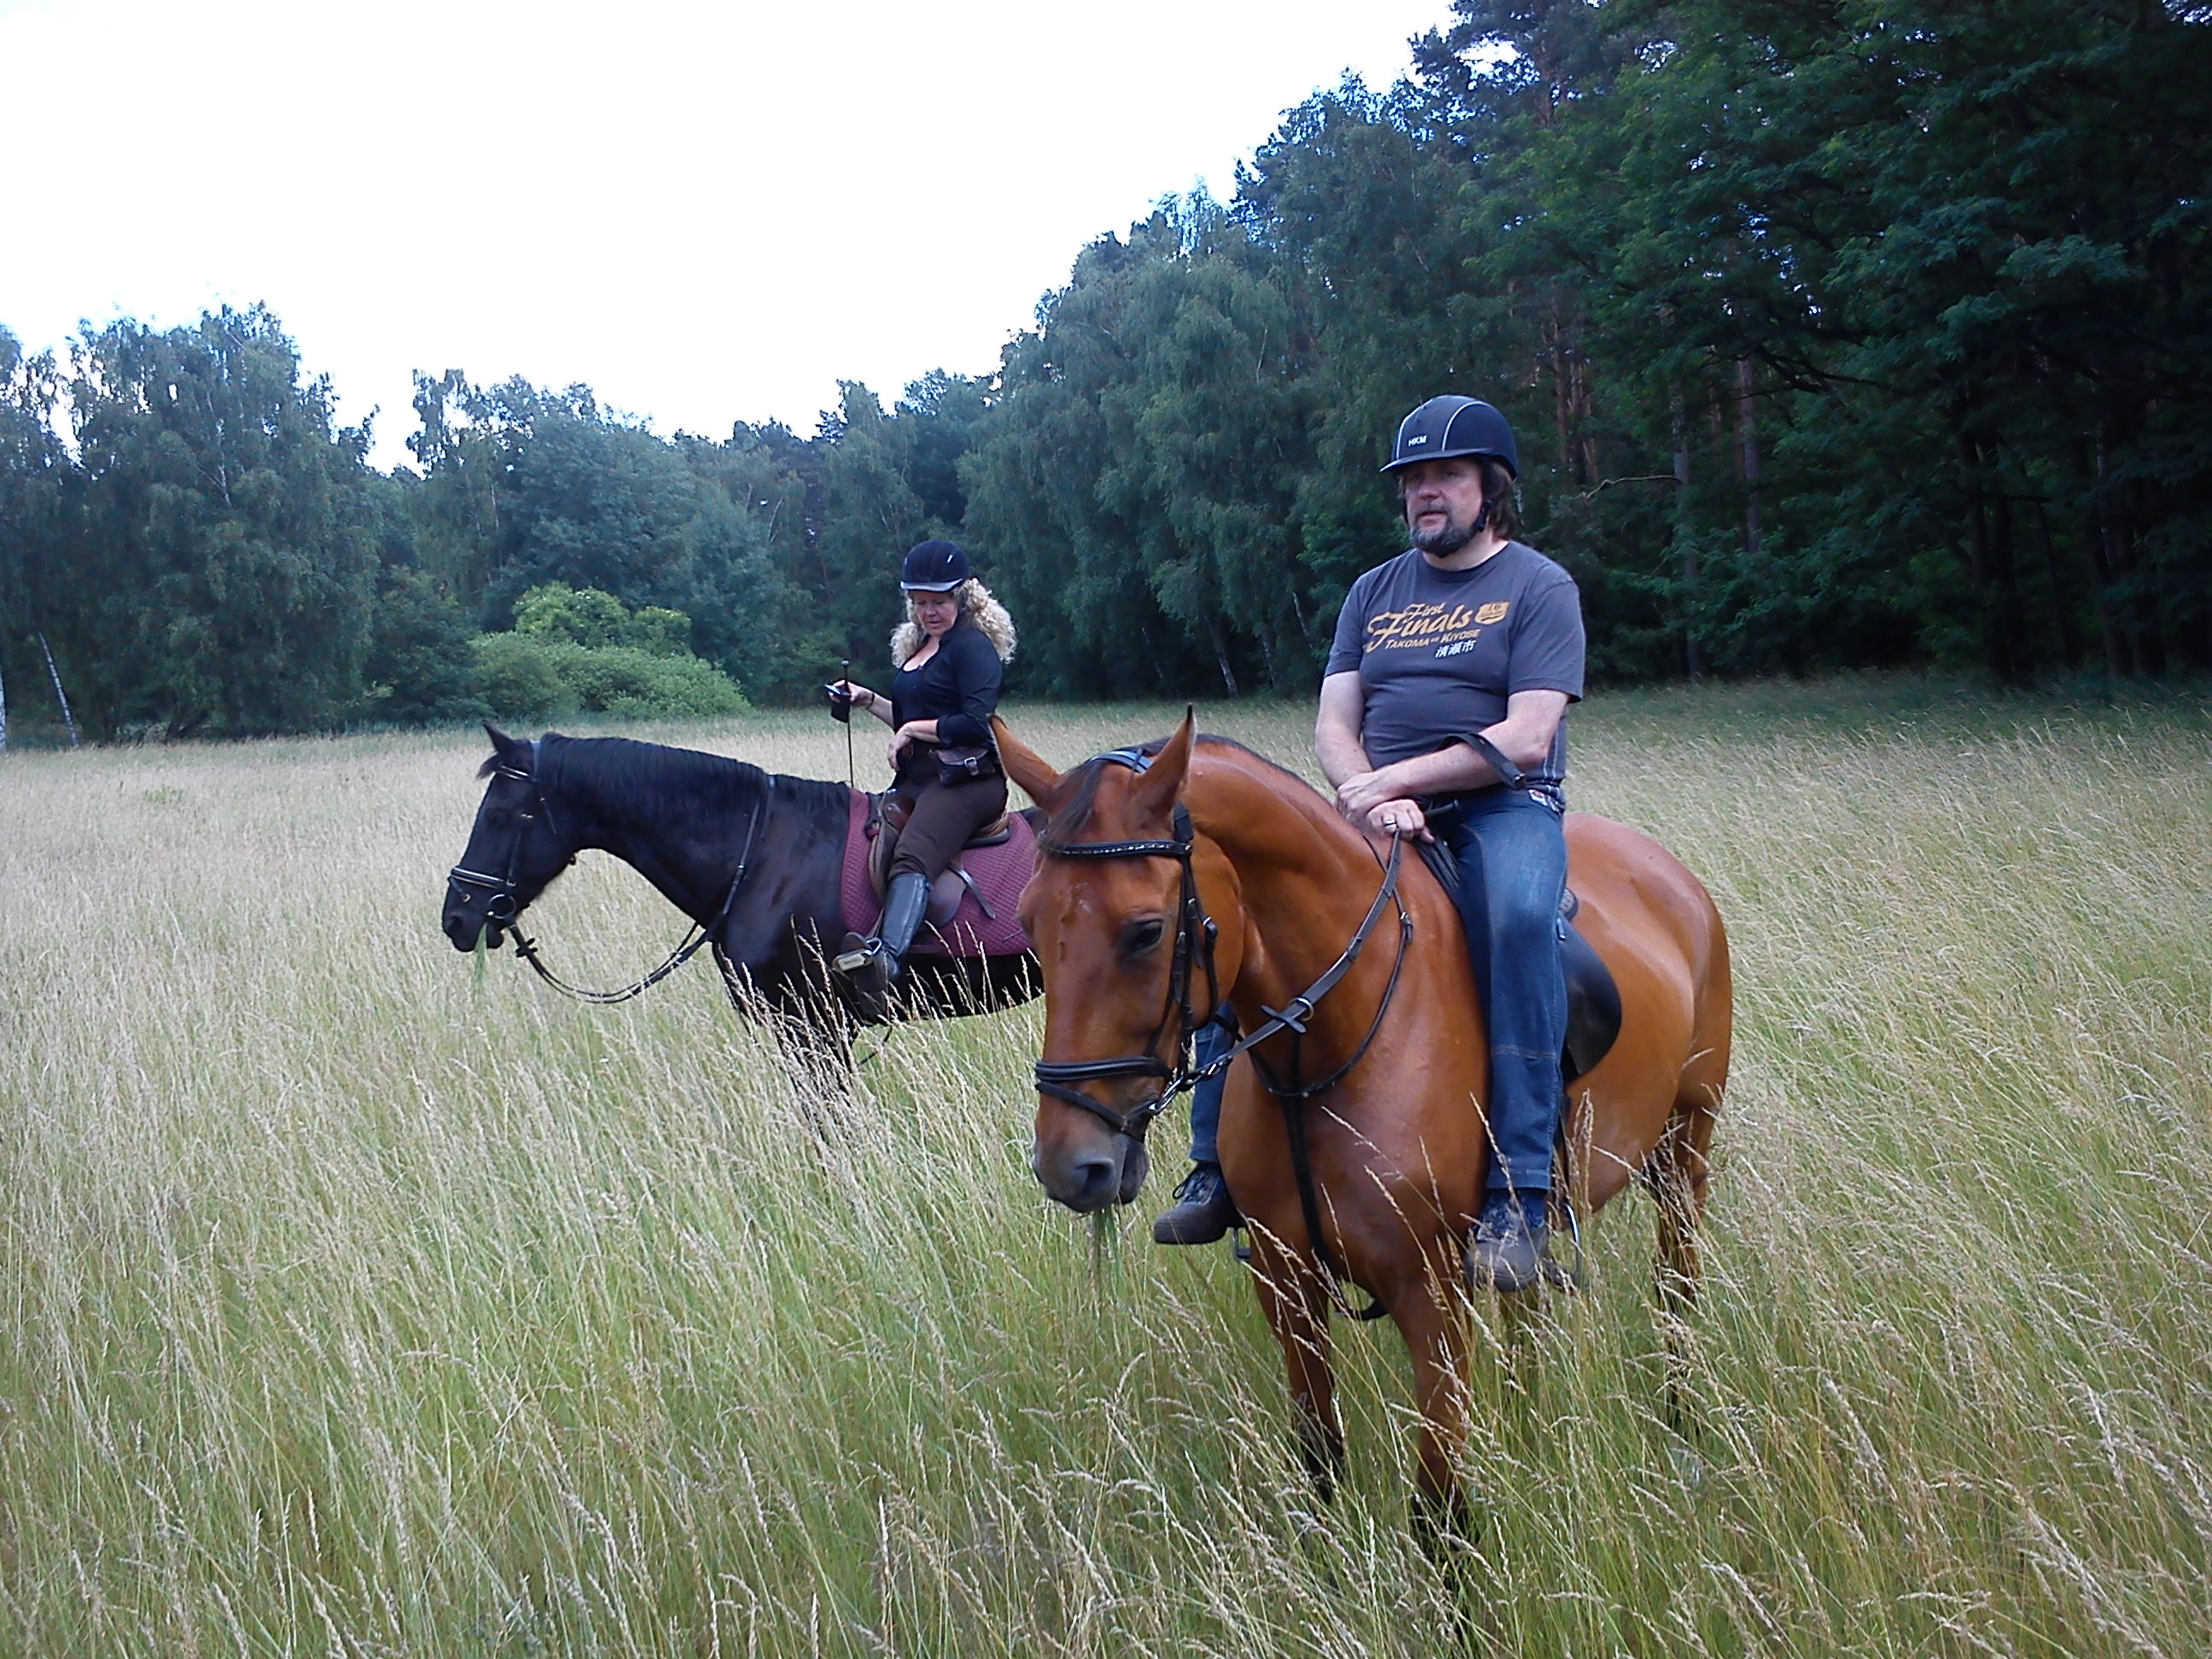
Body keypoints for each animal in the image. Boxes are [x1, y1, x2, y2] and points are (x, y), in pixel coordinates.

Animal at [999, 716, 1725, 1530]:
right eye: (1028, 921)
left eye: (1147, 932)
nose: (1071, 1164)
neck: (1340, 1042)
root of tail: (1672, 877)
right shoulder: (1287, 1282)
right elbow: (1320, 1460)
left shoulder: (1432, 1300)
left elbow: (1439, 1512)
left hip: (1684, 1152)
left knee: (1675, 1288)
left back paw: (1683, 1421)